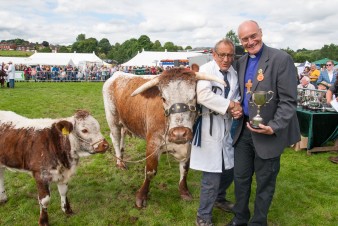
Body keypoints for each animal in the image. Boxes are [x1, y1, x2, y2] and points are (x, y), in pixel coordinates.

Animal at [101, 66, 226, 208]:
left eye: (194, 96)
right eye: (163, 98)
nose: (179, 133)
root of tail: (117, 74)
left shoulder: (188, 146)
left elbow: (185, 169)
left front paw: (184, 191)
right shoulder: (153, 144)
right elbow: (150, 171)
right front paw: (141, 196)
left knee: (122, 137)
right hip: (112, 119)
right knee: (115, 138)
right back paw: (120, 162)